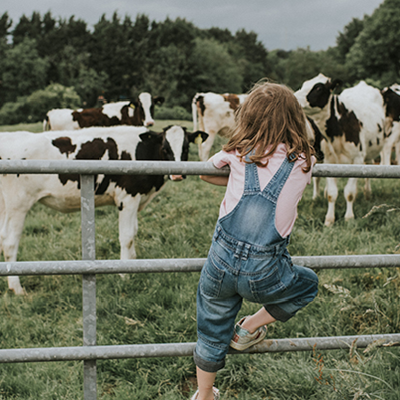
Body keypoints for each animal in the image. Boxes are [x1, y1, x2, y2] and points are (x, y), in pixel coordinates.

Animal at [2, 125, 209, 294]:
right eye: (165, 148)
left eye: (185, 147)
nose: (177, 174)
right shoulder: (128, 198)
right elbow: (127, 236)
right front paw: (125, 274)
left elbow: (134, 232)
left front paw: (133, 262)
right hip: (17, 205)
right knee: (10, 242)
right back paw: (17, 288)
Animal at [296, 73, 386, 227]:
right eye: (304, 84)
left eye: (318, 88)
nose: (295, 97)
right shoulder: (329, 161)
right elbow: (332, 193)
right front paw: (329, 219)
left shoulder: (357, 161)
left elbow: (349, 192)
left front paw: (349, 218)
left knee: (369, 168)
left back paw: (367, 193)